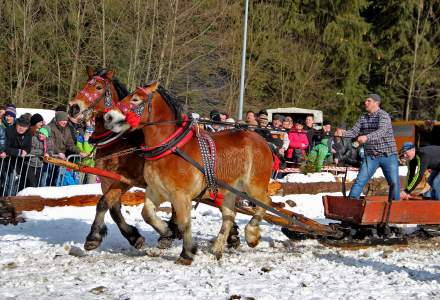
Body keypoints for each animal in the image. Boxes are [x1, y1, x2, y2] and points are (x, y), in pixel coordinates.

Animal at [104, 83, 274, 264]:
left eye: (135, 99)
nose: (108, 116)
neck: (171, 149)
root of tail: (263, 141)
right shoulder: (155, 191)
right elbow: (147, 214)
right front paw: (166, 233)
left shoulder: (181, 195)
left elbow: (184, 222)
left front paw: (186, 253)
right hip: (227, 191)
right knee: (229, 215)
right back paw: (217, 248)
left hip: (254, 186)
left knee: (266, 202)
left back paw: (252, 235)